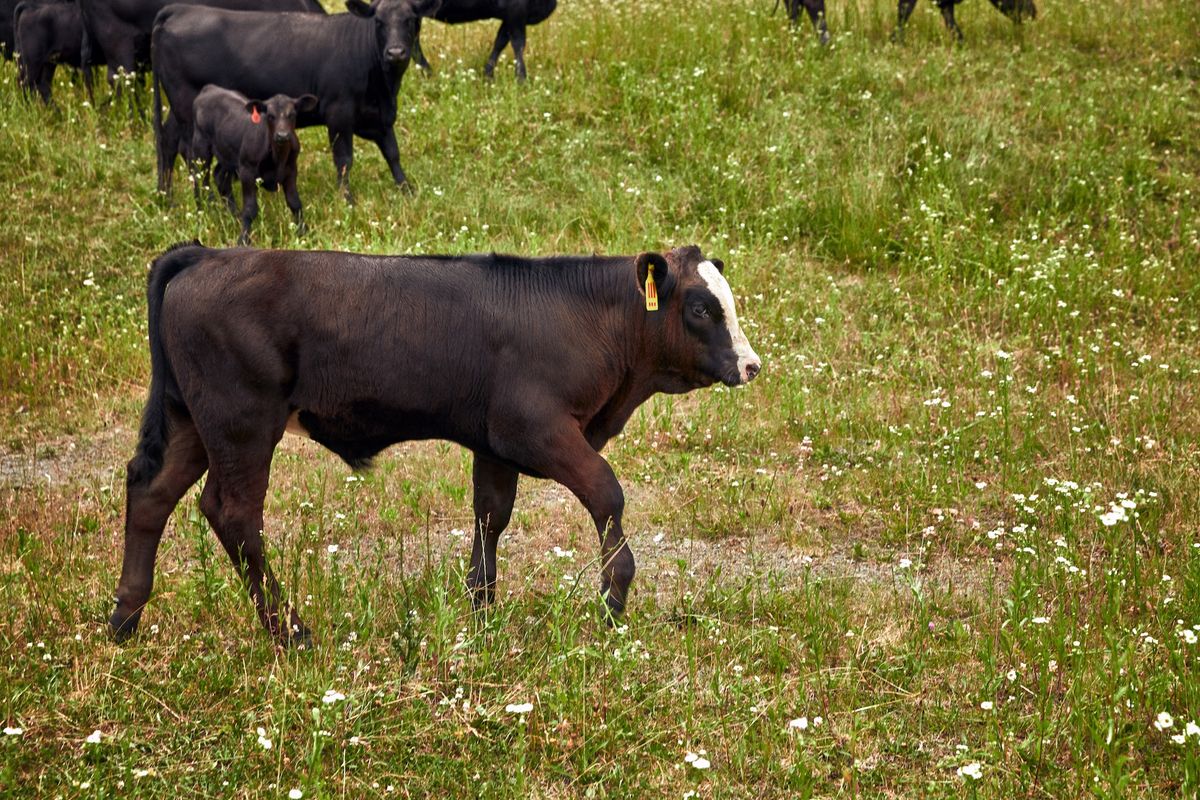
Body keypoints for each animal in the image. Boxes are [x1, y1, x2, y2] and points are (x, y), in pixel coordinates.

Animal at [110, 242, 763, 645]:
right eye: (701, 307)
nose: (752, 365)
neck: (582, 318)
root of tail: (207, 254)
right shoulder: (540, 432)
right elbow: (607, 494)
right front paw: (613, 599)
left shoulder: (495, 443)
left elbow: (491, 515)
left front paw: (481, 609)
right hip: (241, 422)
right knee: (232, 512)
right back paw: (291, 632)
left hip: (193, 421)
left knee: (151, 493)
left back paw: (125, 618)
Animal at [152, 0, 434, 203]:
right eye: (378, 21)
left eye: (411, 20)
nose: (395, 52)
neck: (383, 88)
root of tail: (179, 9)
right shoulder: (339, 115)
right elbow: (344, 161)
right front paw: (347, 200)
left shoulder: (379, 117)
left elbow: (393, 153)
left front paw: (408, 191)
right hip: (187, 108)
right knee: (192, 155)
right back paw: (206, 203)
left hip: (181, 109)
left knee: (168, 141)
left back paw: (167, 199)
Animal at [190, 86, 318, 244]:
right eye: (270, 115)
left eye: (292, 114)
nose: (282, 135)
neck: (278, 157)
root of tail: (210, 88)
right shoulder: (247, 170)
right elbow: (250, 209)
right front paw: (243, 240)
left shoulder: (291, 170)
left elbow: (295, 203)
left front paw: (304, 233)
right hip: (201, 148)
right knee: (199, 179)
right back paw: (201, 212)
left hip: (227, 156)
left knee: (220, 177)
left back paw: (234, 216)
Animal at [410, 0, 557, 81]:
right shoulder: (517, 12)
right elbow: (518, 44)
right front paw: (522, 79)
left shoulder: (509, 16)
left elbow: (500, 42)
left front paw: (488, 75)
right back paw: (429, 74)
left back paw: (428, 74)